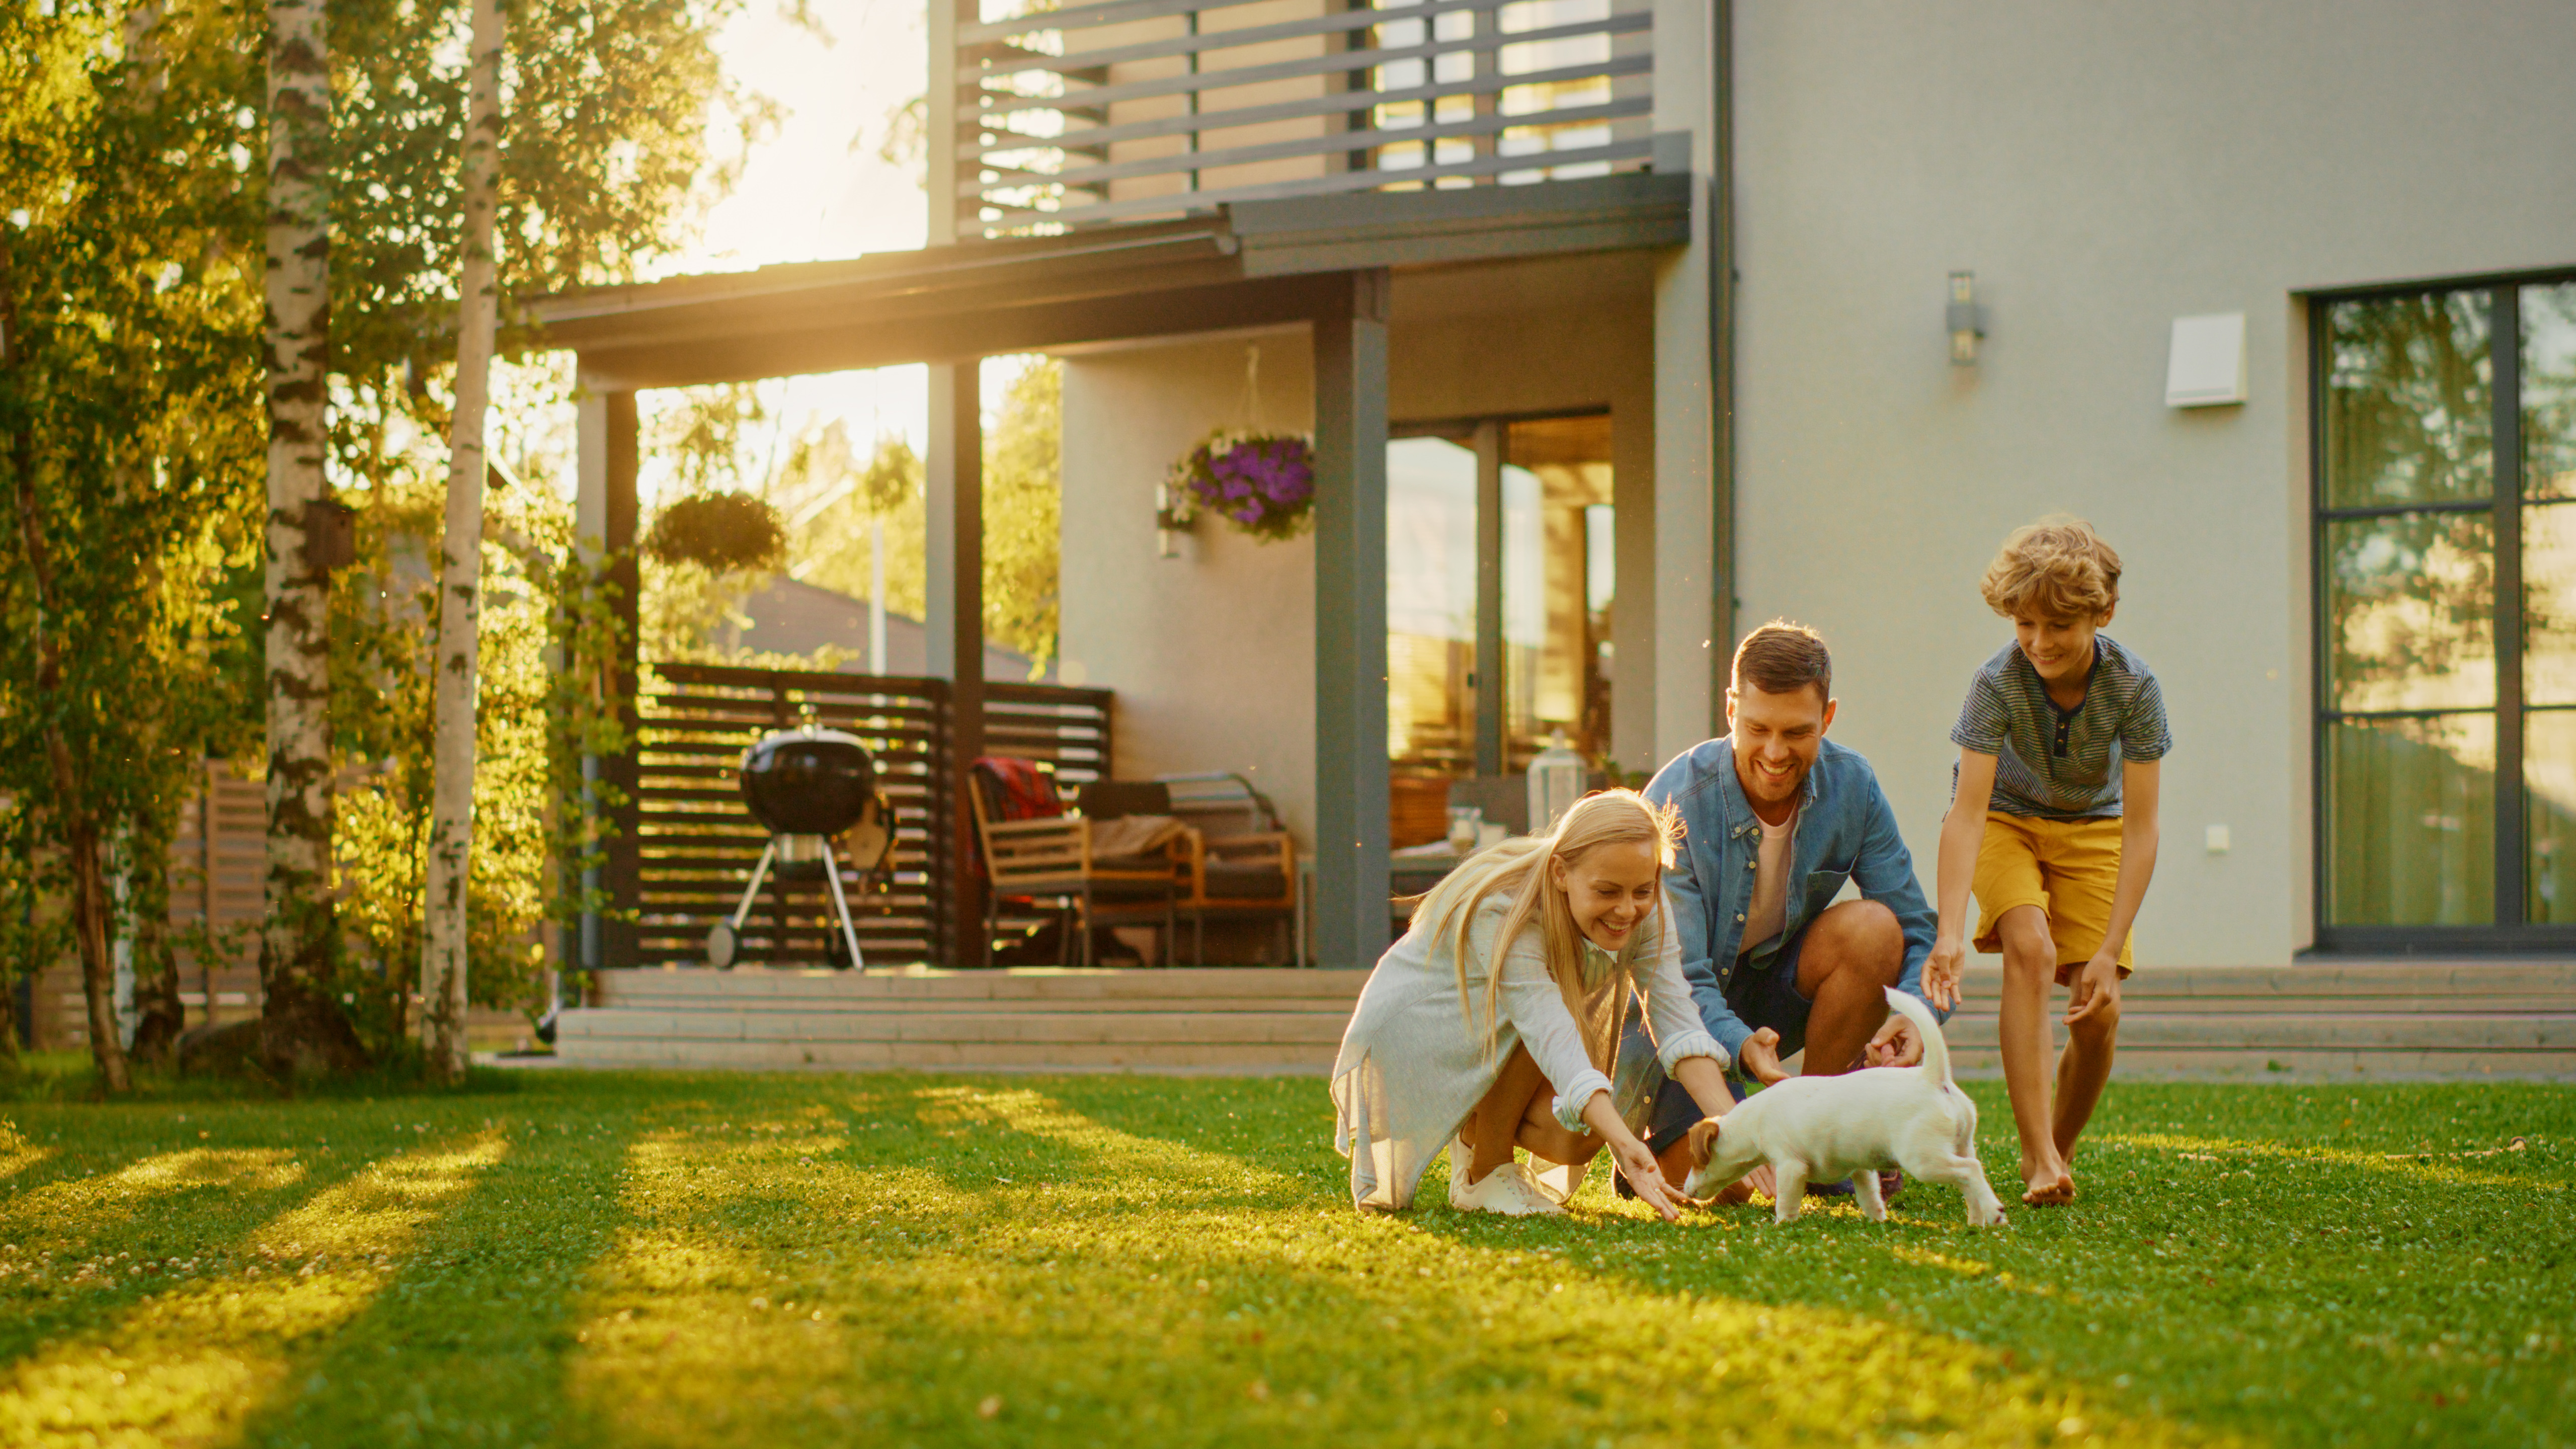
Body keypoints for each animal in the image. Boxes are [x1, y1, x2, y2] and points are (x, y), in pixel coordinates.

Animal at [1679, 980, 2020, 1217]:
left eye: (1695, 1159)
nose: (1684, 1192)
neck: (1752, 1122)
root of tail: (1933, 1078)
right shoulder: (1862, 1169)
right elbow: (1870, 1198)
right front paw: (1878, 1221)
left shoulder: (1791, 1166)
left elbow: (1786, 1202)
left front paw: (1782, 1225)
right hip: (1961, 1144)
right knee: (1970, 1180)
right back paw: (1978, 1220)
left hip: (1923, 1158)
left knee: (1970, 1171)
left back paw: (1994, 1213)